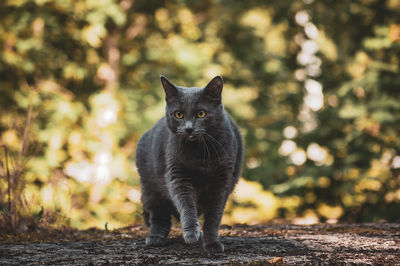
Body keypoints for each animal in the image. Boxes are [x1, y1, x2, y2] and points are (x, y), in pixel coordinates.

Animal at [135, 76, 244, 252]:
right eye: (179, 114)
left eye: (201, 113)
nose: (189, 128)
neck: (200, 154)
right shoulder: (177, 174)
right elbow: (186, 204)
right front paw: (191, 233)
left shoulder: (222, 181)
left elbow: (214, 216)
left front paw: (211, 243)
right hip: (150, 187)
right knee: (159, 215)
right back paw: (156, 238)